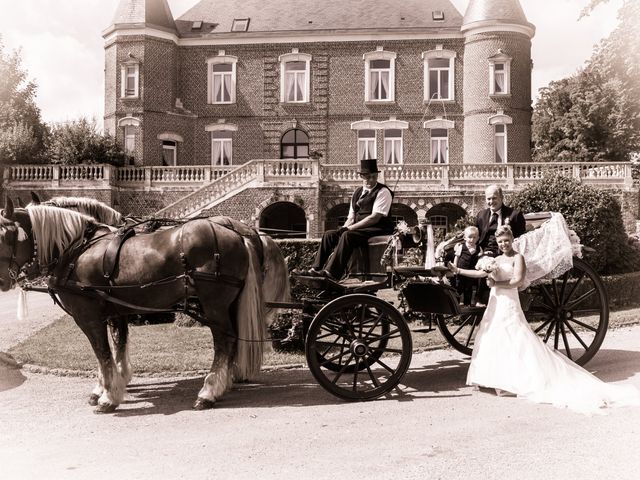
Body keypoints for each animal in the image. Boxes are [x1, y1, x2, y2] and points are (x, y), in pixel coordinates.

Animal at [0, 198, 290, 412]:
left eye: (5, 236)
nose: (3, 280)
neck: (78, 250)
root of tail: (240, 234)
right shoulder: (115, 311)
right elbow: (116, 348)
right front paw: (112, 385)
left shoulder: (89, 316)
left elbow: (102, 354)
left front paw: (108, 396)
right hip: (228, 304)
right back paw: (226, 382)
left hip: (215, 306)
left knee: (224, 342)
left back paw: (209, 391)